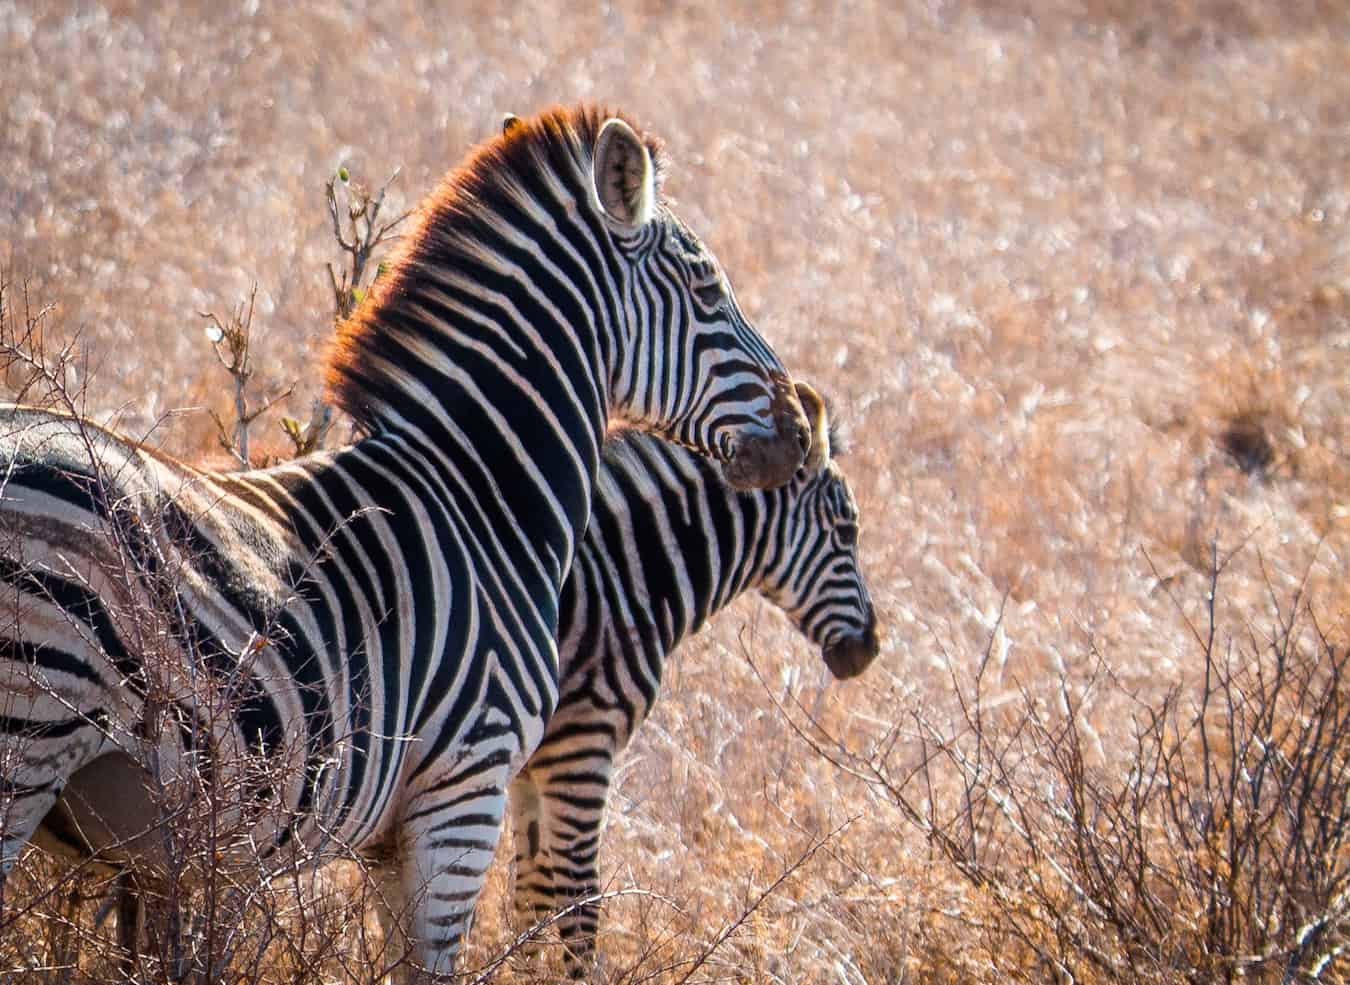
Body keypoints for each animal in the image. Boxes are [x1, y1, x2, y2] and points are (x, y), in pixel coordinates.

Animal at [2, 103, 810, 971]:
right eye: (710, 289)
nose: (801, 433)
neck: (484, 501)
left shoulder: (337, 841)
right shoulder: (465, 791)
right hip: (25, 740)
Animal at [507, 380, 874, 966]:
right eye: (846, 530)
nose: (870, 648)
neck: (624, 575)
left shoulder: (530, 769)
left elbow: (530, 905)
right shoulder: (580, 749)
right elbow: (578, 908)